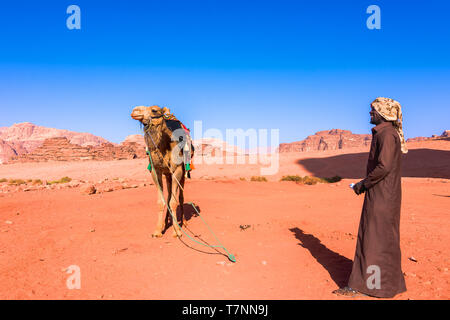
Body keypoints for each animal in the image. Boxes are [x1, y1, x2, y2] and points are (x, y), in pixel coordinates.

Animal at [130, 105, 193, 238]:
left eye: (154, 110)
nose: (135, 110)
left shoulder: (177, 170)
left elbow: (174, 202)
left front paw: (177, 231)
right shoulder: (156, 171)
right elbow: (162, 201)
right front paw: (158, 230)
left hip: (182, 173)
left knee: (180, 197)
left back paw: (183, 223)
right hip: (167, 175)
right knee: (168, 197)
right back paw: (166, 222)